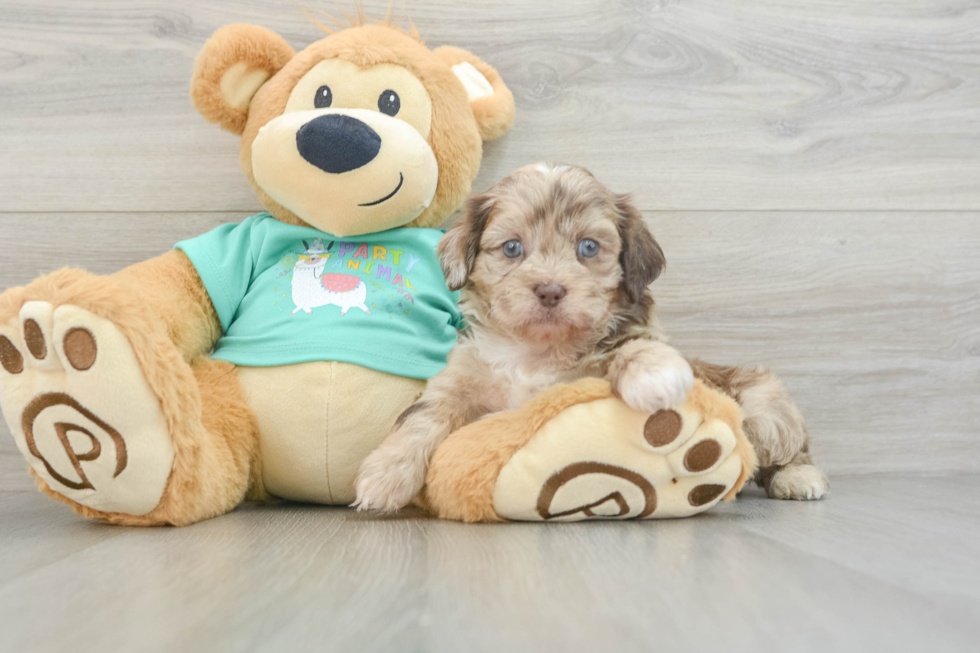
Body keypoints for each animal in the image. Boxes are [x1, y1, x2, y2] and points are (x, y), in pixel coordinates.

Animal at [352, 162, 828, 510]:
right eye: (512, 248)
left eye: (588, 248)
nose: (549, 290)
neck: (537, 350)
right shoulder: (457, 379)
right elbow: (421, 417)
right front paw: (383, 476)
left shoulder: (613, 357)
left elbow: (634, 348)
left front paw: (653, 376)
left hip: (766, 406)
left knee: (787, 451)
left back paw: (799, 478)